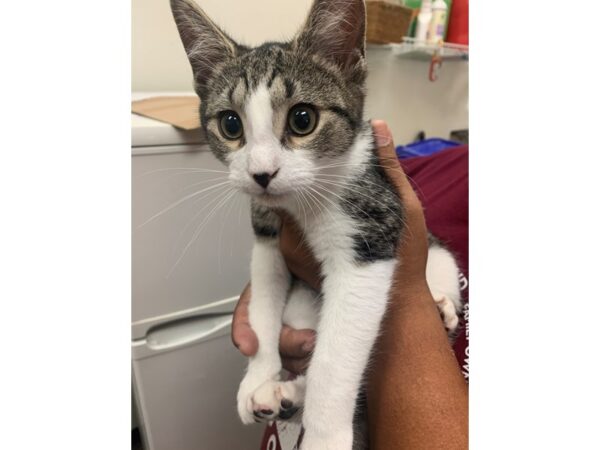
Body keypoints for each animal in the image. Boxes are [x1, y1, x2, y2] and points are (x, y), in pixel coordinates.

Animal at [171, 1, 462, 448]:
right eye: (230, 125)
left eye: (303, 119)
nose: (261, 174)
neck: (300, 203)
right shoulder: (267, 235)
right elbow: (264, 303)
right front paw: (257, 376)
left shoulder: (371, 225)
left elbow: (337, 356)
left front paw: (325, 436)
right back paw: (285, 393)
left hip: (440, 257)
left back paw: (442, 308)